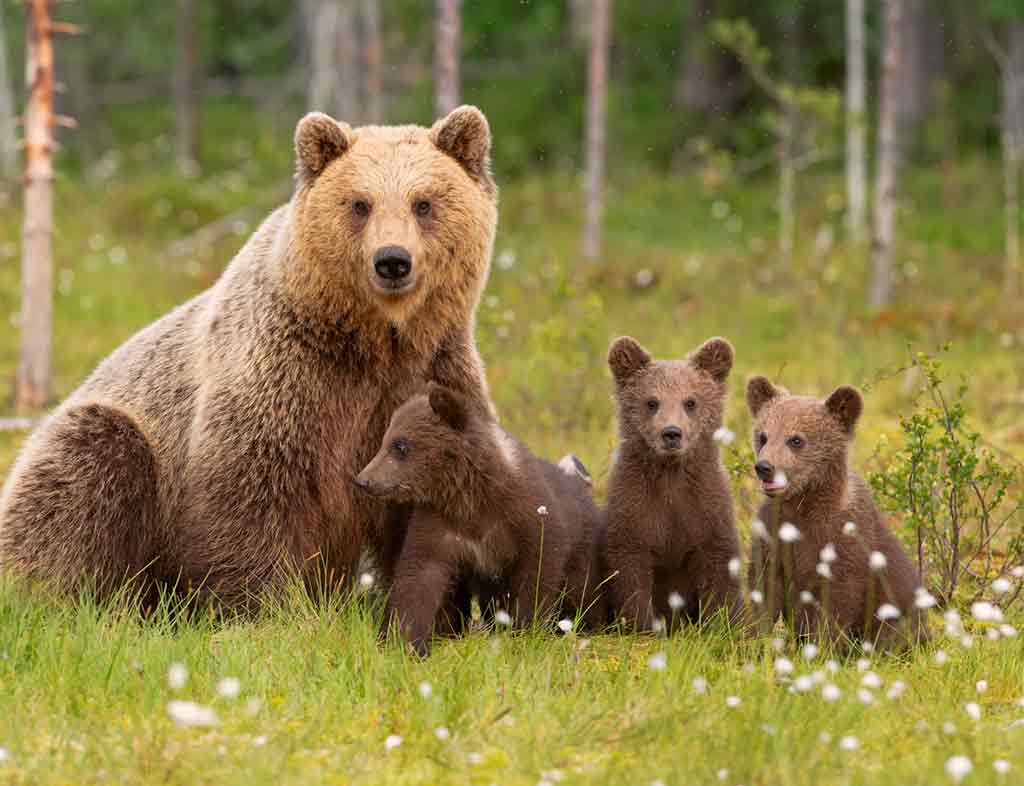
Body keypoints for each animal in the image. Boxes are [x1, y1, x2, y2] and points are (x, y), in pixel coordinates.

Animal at [0, 105, 499, 605]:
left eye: (424, 203)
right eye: (360, 203)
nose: (392, 260)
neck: (376, 342)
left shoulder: (430, 373)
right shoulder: (283, 375)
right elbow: (252, 493)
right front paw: (264, 604)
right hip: (102, 448)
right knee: (86, 472)